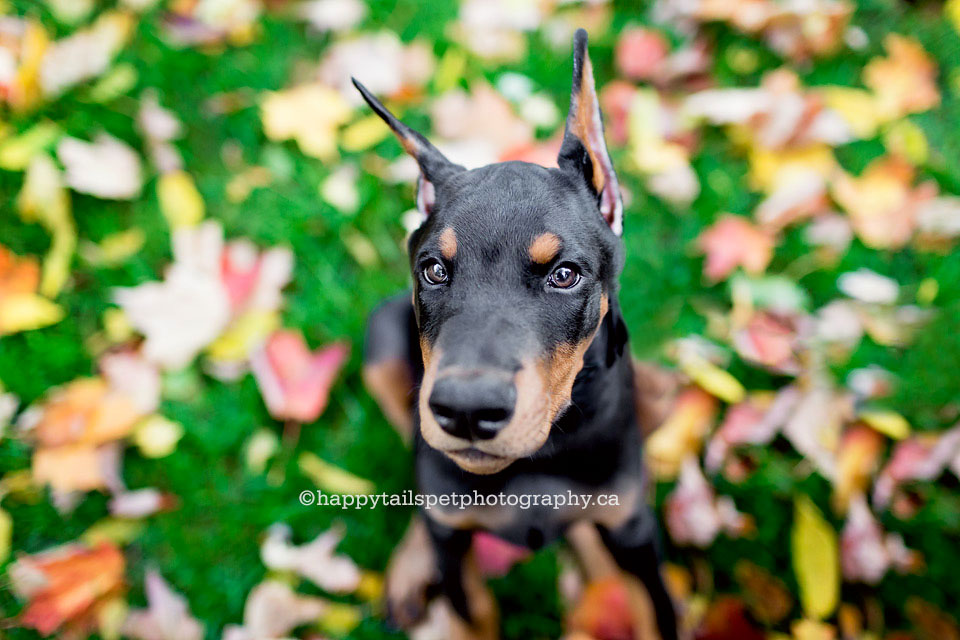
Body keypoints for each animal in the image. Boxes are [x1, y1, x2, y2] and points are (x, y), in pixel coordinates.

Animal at [356, 30, 680, 640]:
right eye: (433, 270)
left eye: (565, 275)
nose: (465, 412)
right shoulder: (455, 548)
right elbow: (470, 605)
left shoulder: (634, 535)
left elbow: (656, 609)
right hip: (380, 345)